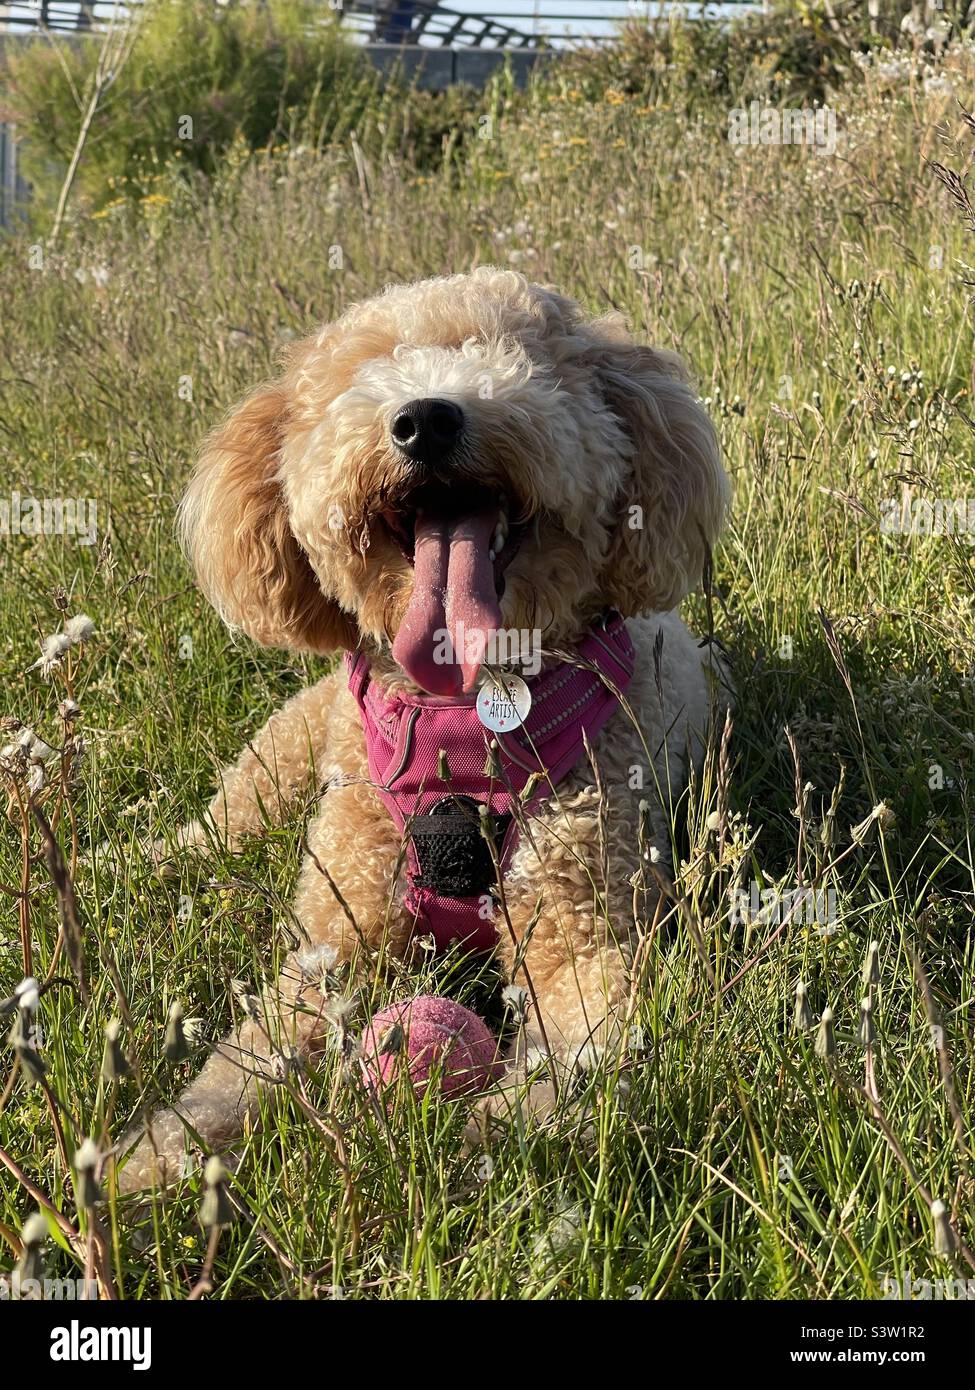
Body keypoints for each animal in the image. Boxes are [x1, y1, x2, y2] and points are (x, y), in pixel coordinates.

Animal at [118, 265, 728, 1189]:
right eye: (364, 367)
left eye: (522, 354)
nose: (427, 418)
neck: (459, 723)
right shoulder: (336, 939)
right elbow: (245, 1062)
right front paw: (154, 1163)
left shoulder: (589, 932)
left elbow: (585, 1051)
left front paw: (501, 1132)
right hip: (275, 764)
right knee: (210, 828)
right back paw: (128, 860)